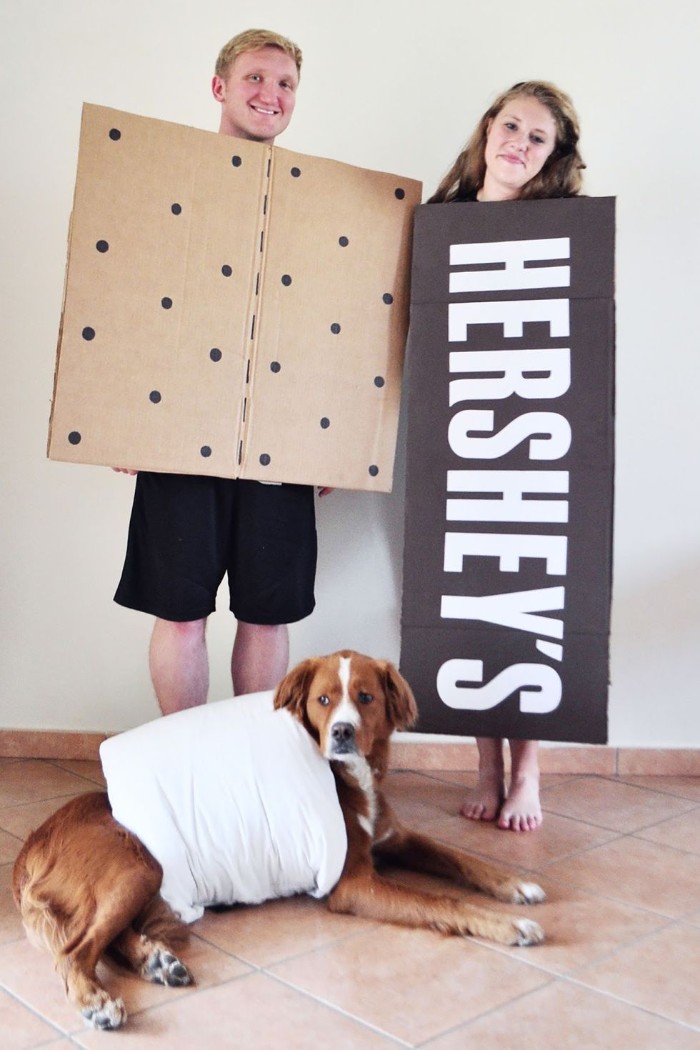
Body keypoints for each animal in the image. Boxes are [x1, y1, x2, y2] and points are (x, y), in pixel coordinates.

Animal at [13, 651, 545, 1029]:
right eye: (324, 700)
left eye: (366, 697)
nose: (343, 733)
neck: (350, 778)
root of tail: (30, 846)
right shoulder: (352, 884)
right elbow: (443, 902)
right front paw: (510, 925)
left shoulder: (396, 838)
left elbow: (460, 857)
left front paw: (516, 885)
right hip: (139, 865)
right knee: (73, 951)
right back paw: (98, 1002)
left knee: (104, 938)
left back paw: (156, 961)